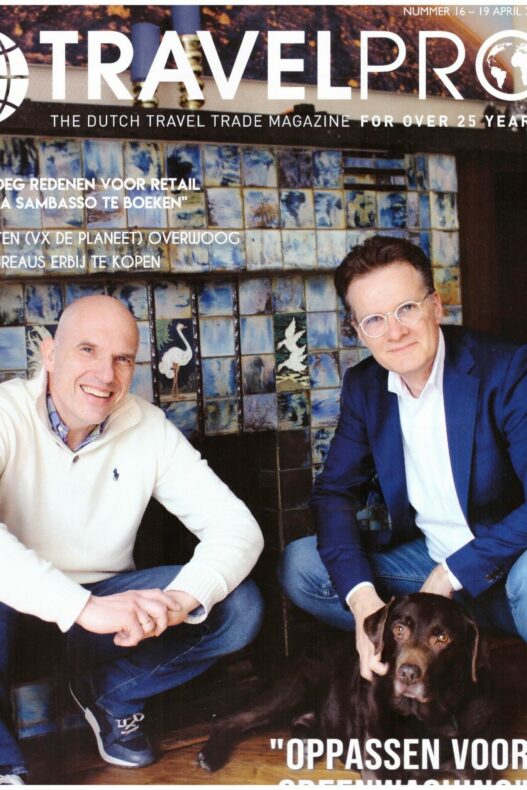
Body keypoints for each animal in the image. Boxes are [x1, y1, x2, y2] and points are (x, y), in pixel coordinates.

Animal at [198, 593, 495, 781]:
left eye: (442, 638)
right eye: (398, 630)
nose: (408, 674)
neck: (425, 719)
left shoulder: (477, 766)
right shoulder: (380, 766)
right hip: (293, 687)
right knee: (230, 719)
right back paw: (210, 756)